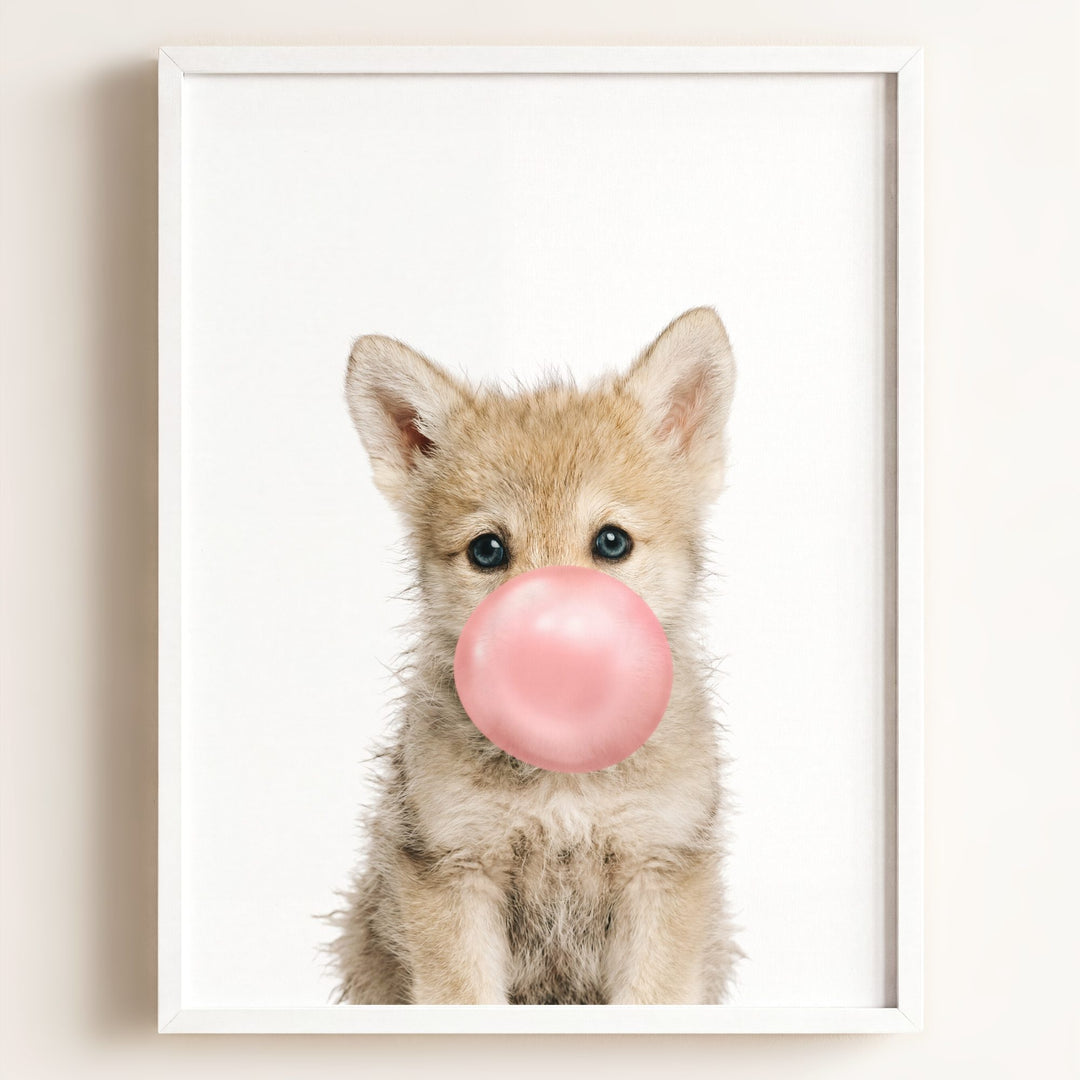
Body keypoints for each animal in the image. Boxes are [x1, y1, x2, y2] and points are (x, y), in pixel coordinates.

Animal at [330, 307, 739, 1005]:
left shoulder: (659, 868)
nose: (551, 646)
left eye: (611, 542)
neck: (563, 779)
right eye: (487, 550)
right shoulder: (454, 870)